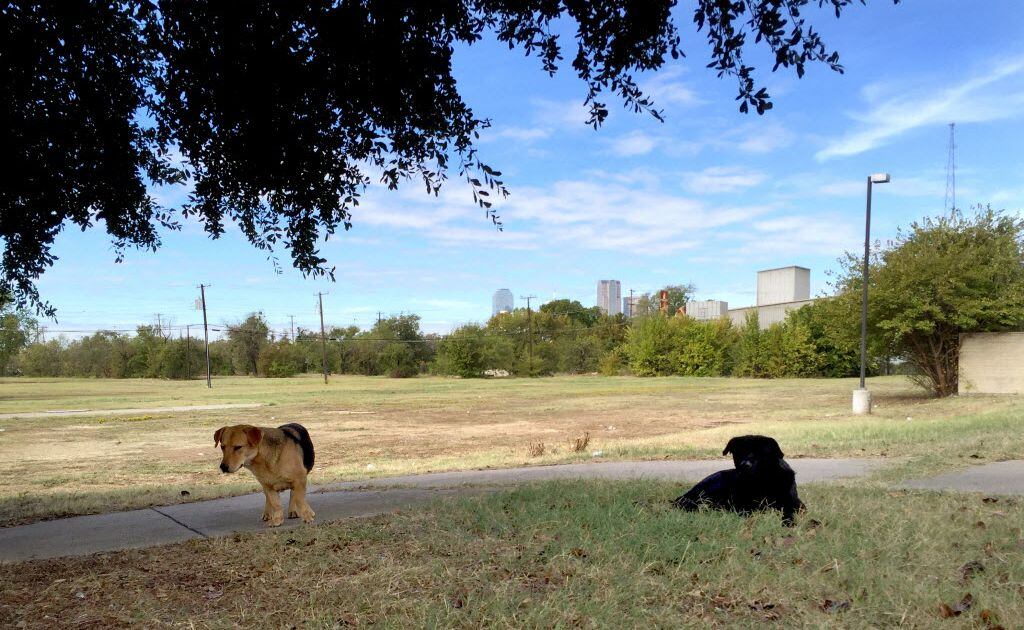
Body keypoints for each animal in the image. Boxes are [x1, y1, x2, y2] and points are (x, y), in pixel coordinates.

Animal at [671, 434, 806, 528]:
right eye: (739, 453)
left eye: (761, 453)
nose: (745, 464)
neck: (761, 483)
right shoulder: (742, 505)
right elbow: (747, 511)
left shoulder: (795, 503)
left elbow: (790, 511)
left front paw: (788, 522)